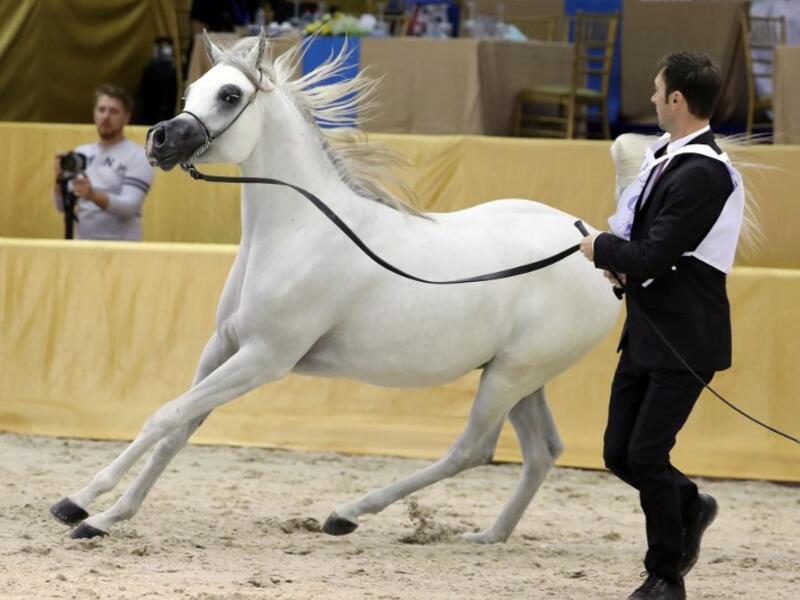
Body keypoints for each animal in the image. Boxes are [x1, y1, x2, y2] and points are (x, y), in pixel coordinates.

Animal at [50, 32, 621, 541]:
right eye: (190, 91)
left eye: (230, 94)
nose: (159, 140)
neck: (298, 231)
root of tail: (593, 245)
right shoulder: (224, 348)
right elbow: (178, 430)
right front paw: (105, 514)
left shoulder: (263, 358)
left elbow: (163, 417)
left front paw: (83, 503)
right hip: (519, 378)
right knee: (543, 451)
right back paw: (487, 536)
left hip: (510, 376)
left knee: (473, 449)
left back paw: (348, 514)